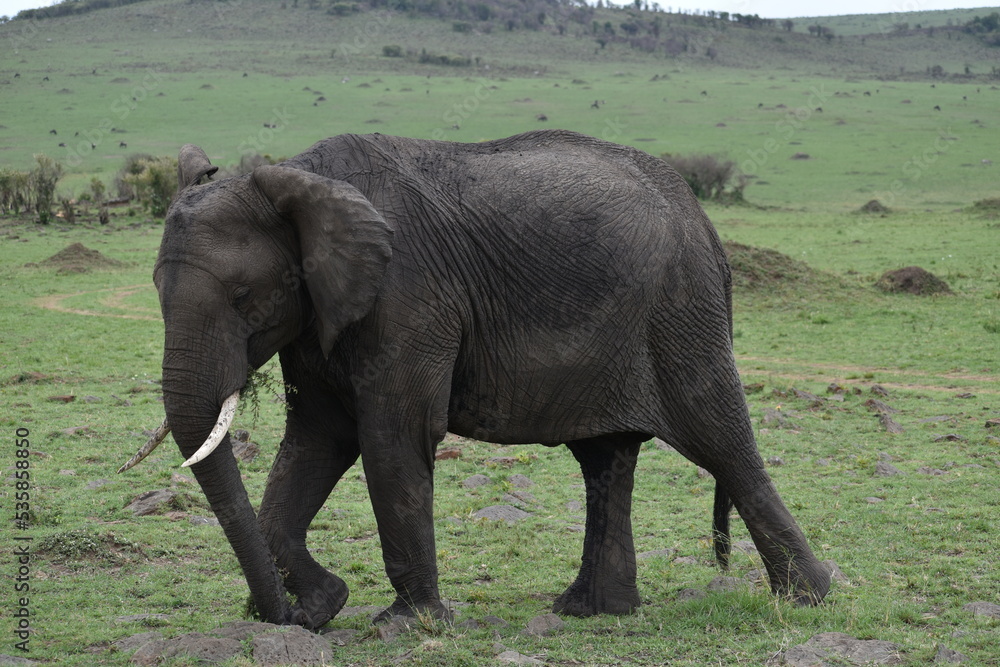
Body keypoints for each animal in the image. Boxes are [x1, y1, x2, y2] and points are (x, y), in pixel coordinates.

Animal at [121, 130, 832, 632]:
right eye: (155, 290)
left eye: (244, 297)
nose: (281, 615)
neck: (302, 180)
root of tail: (705, 223)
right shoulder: (320, 311)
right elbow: (318, 438)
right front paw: (324, 607)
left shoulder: (408, 294)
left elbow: (392, 435)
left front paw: (406, 626)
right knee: (605, 459)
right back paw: (590, 611)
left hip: (681, 310)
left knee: (720, 441)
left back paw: (806, 602)